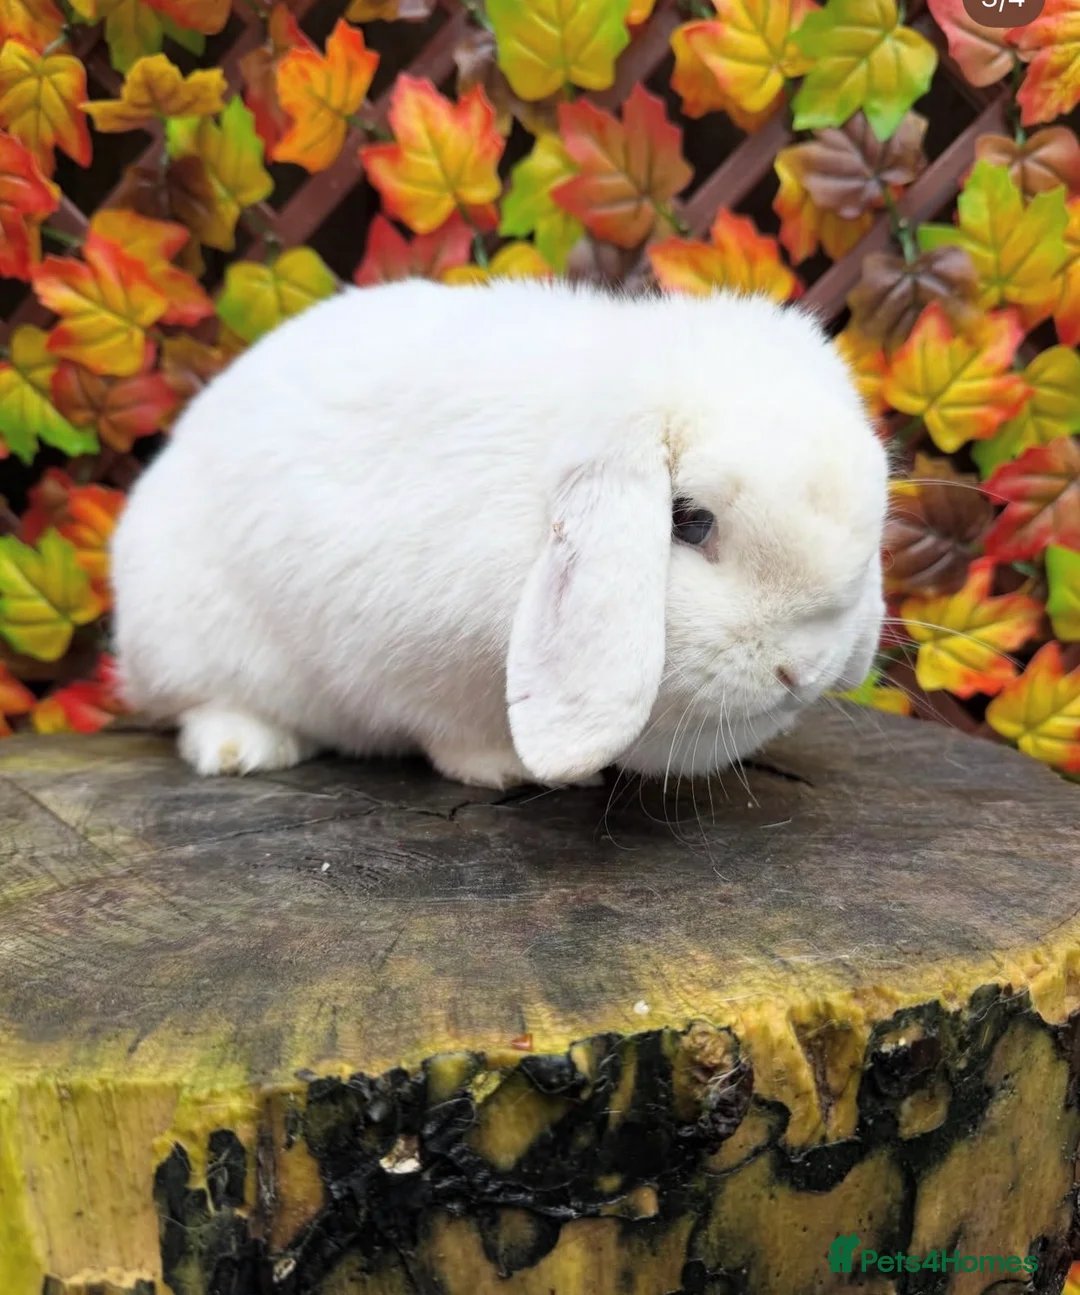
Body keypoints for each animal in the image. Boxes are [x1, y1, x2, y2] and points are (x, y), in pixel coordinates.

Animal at [109, 278, 888, 790]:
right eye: (690, 520)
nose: (802, 670)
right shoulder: (406, 656)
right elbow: (453, 733)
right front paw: (512, 771)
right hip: (186, 639)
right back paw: (243, 748)